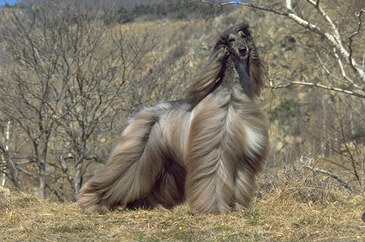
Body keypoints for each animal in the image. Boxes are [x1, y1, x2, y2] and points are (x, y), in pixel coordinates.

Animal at [78, 20, 268, 214]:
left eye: (243, 36)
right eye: (230, 40)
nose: (243, 50)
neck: (232, 95)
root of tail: (138, 114)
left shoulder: (243, 155)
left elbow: (240, 183)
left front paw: (239, 207)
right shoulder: (215, 150)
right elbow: (213, 177)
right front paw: (213, 208)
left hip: (165, 160)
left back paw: (149, 205)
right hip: (137, 151)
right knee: (119, 174)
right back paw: (92, 202)